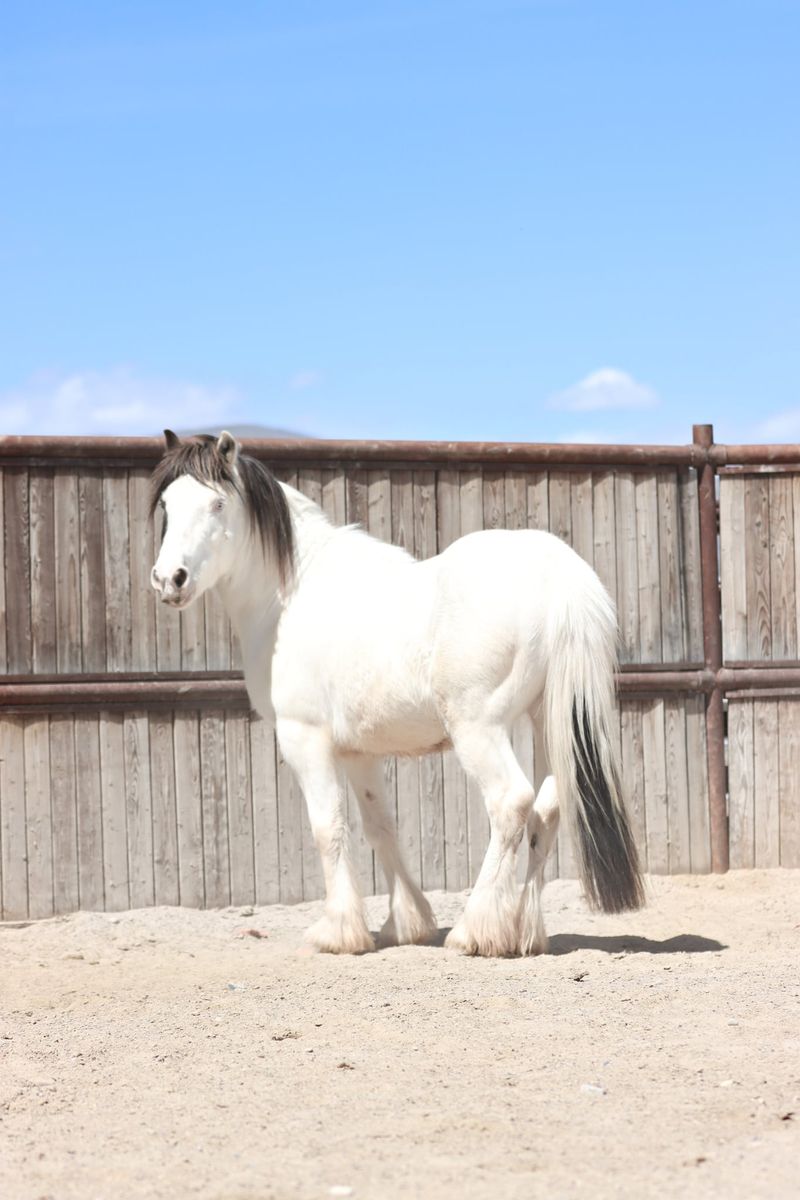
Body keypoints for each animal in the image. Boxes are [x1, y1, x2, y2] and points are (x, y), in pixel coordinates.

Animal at [150, 430, 643, 957]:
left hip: (479, 729)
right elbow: (379, 826)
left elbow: (328, 827)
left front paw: (338, 932)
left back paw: (474, 930)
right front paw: (405, 923)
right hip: (547, 719)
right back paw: (523, 931)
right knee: (546, 811)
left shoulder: (305, 739)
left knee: (512, 804)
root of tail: (560, 577)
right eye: (167, 503)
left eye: (218, 503)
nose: (169, 579)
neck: (292, 597)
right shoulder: (357, 752)